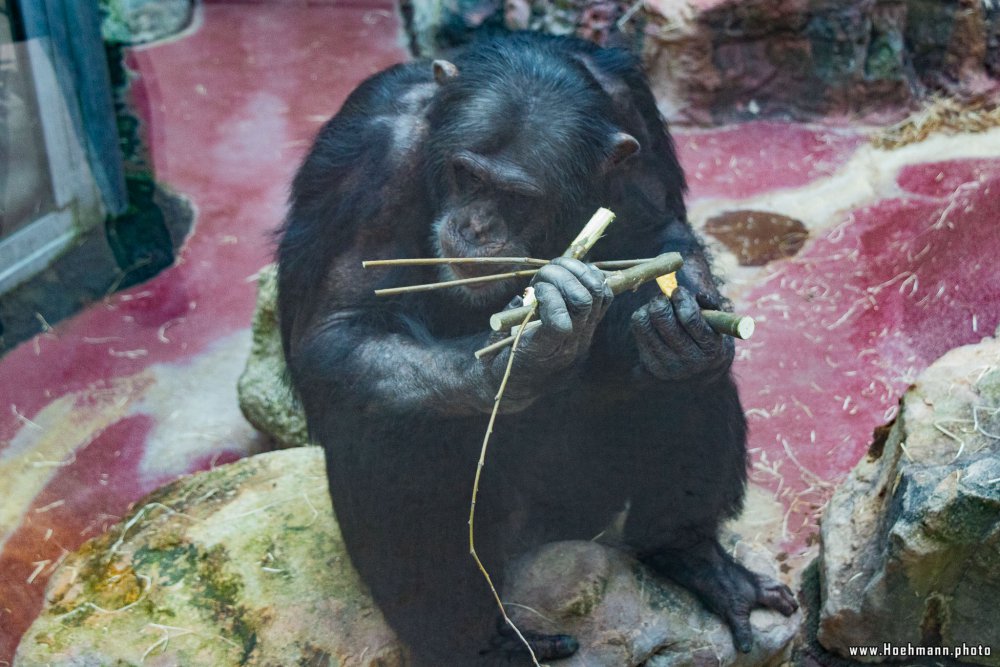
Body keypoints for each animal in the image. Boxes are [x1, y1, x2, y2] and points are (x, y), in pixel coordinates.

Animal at [276, 30, 796, 664]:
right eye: (468, 176)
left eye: (518, 197)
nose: (475, 227)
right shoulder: (374, 160)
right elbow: (342, 324)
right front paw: (520, 357)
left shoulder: (634, 117)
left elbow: (657, 230)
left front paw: (685, 321)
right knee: (387, 430)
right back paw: (475, 643)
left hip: (586, 498)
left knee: (682, 380)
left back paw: (694, 556)